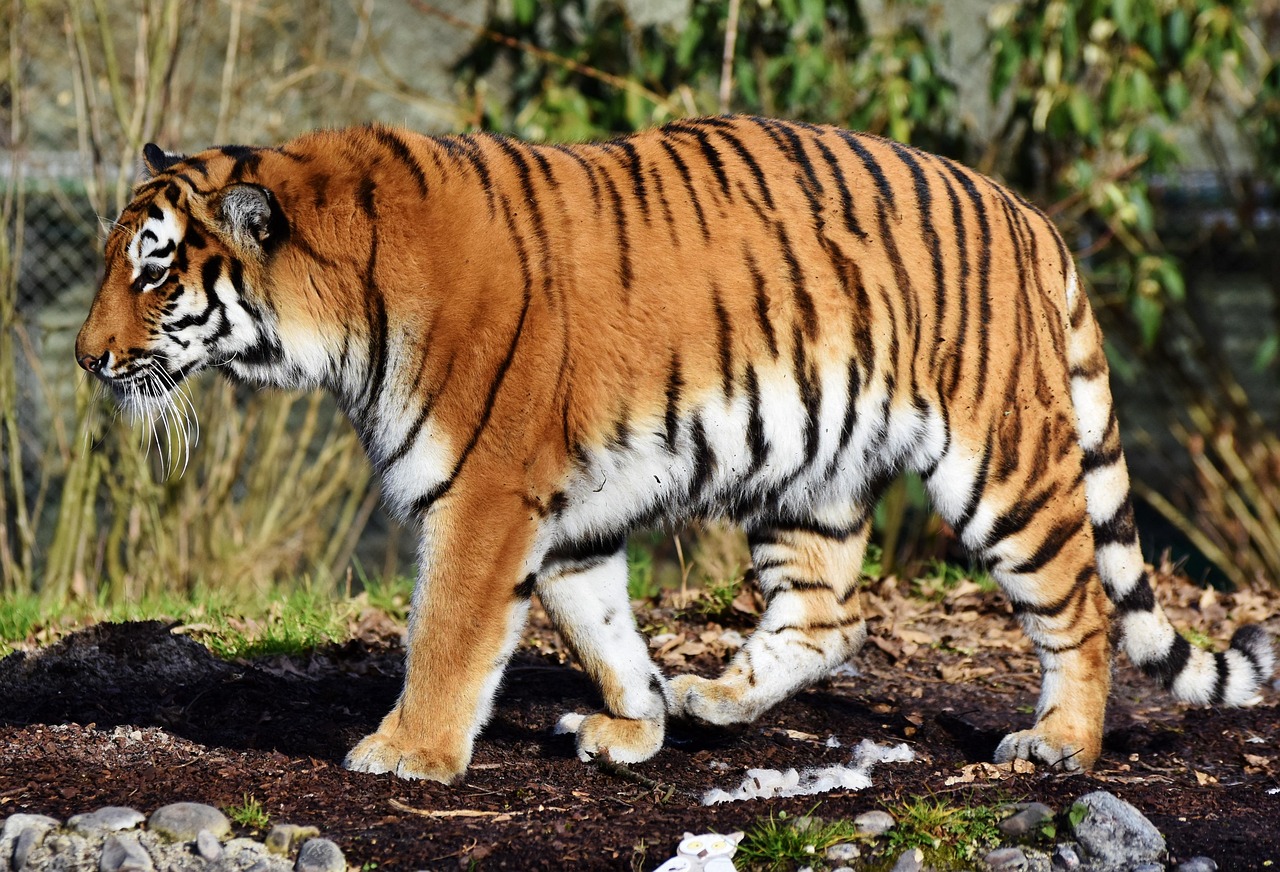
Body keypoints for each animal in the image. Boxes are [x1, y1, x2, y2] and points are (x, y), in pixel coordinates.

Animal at [76, 115, 1274, 783]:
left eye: (153, 270)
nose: (88, 359)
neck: (338, 313)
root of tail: (1026, 213)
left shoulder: (484, 498)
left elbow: (447, 636)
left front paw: (407, 752)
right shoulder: (559, 516)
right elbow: (601, 625)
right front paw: (638, 722)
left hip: (1002, 465)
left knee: (1078, 607)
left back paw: (1060, 744)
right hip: (809, 478)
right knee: (833, 618)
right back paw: (712, 699)